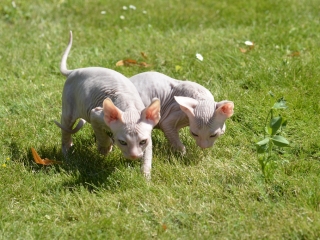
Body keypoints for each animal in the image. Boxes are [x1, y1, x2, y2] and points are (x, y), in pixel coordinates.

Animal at [54, 31, 162, 178]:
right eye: (123, 142)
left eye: (142, 142)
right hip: (69, 105)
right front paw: (104, 148)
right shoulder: (96, 114)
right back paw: (67, 153)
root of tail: (75, 71)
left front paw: (145, 176)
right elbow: (101, 134)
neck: (130, 109)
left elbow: (148, 154)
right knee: (66, 127)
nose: (134, 156)